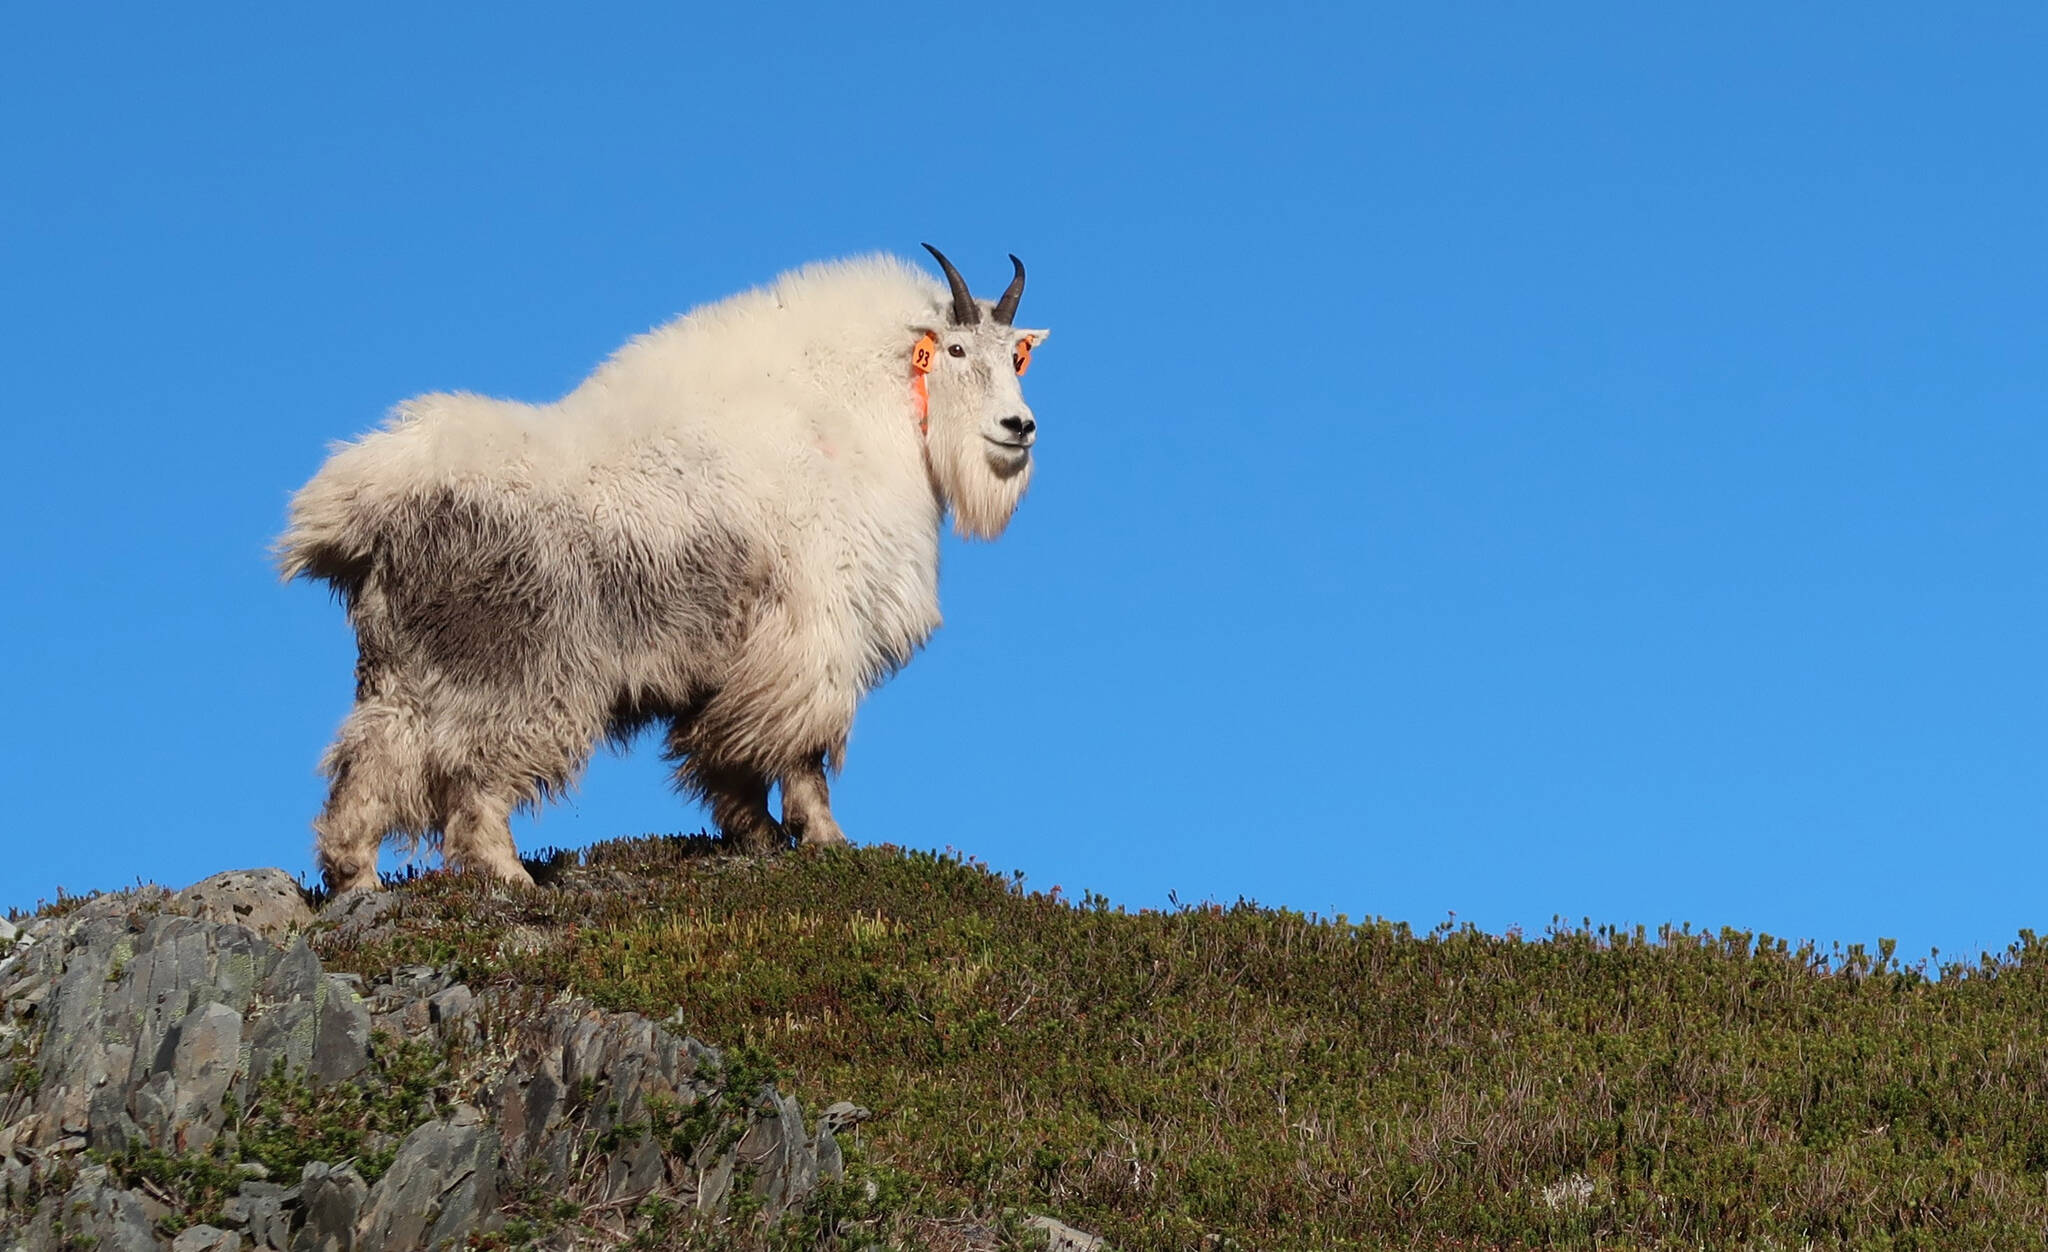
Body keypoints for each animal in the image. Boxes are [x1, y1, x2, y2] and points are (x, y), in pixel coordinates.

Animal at [280, 246, 1048, 893]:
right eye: (954, 349)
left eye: (1017, 356)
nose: (1018, 428)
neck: (848, 410)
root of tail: (364, 505)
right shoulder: (813, 627)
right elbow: (797, 745)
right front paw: (825, 837)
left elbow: (728, 748)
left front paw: (758, 833)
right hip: (518, 669)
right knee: (473, 778)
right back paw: (509, 874)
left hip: (406, 669)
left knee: (374, 759)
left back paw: (356, 878)